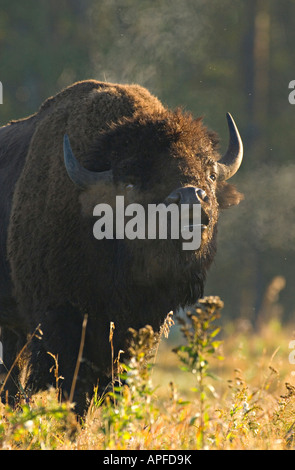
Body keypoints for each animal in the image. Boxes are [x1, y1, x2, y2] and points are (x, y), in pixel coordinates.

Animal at [0, 80, 243, 412]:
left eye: (211, 174)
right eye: (131, 182)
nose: (190, 197)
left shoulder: (143, 326)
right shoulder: (59, 320)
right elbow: (73, 388)